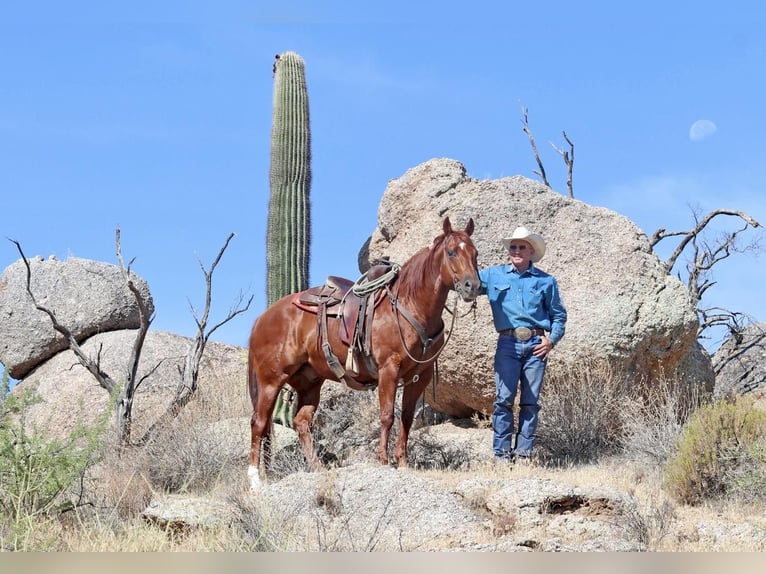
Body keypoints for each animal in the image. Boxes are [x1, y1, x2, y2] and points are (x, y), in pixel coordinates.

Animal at [246, 217, 480, 490]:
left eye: (475, 253)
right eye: (451, 252)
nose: (472, 286)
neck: (410, 306)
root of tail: (262, 318)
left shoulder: (419, 378)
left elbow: (407, 418)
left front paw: (403, 462)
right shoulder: (389, 370)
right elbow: (387, 415)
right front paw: (383, 460)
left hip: (309, 382)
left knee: (301, 422)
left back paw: (316, 468)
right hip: (271, 380)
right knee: (259, 423)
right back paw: (254, 479)